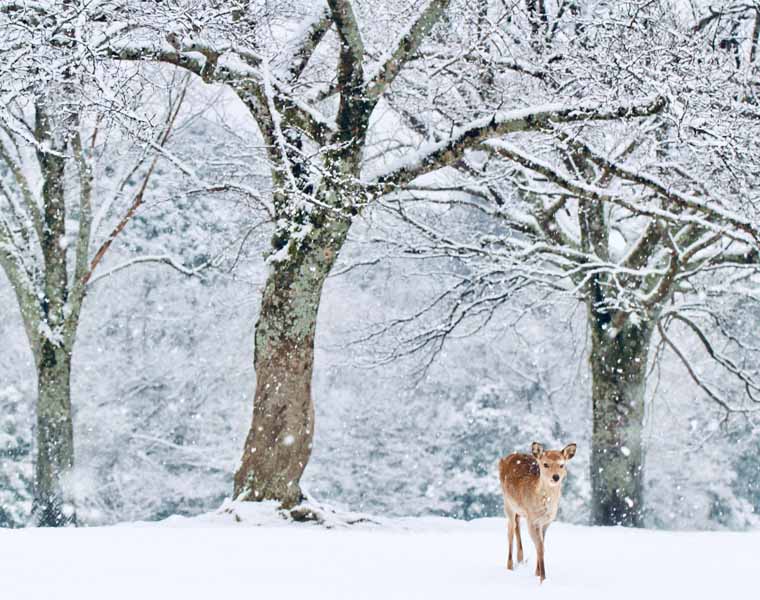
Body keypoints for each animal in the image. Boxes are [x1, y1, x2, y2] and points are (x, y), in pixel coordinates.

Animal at [498, 440, 576, 580]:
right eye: (545, 464)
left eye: (562, 465)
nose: (556, 477)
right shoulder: (532, 520)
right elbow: (539, 547)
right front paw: (542, 578)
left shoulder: (546, 522)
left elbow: (542, 546)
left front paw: (537, 572)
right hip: (507, 504)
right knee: (510, 530)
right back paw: (510, 566)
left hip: (520, 511)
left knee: (517, 525)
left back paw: (521, 559)